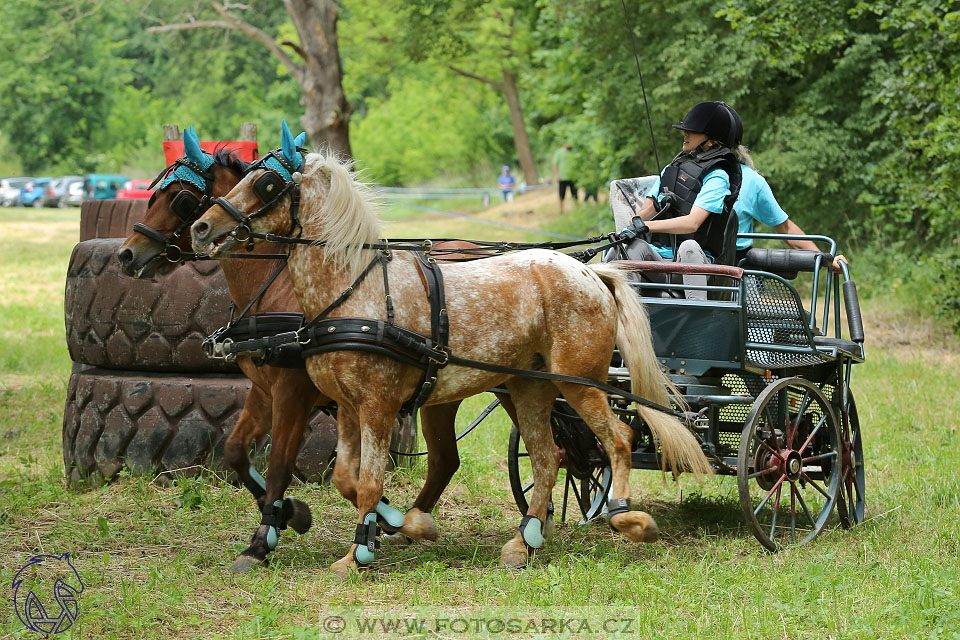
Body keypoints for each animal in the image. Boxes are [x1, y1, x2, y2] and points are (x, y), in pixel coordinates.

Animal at [189, 122, 712, 576]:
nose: (201, 228)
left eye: (268, 184)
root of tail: (590, 272)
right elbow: (347, 479)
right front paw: (395, 527)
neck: (353, 291)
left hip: (579, 384)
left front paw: (359, 553)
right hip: (529, 389)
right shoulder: (346, 406)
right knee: (548, 458)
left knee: (616, 440)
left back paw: (626, 517)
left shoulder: (376, 405)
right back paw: (524, 541)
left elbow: (369, 481)